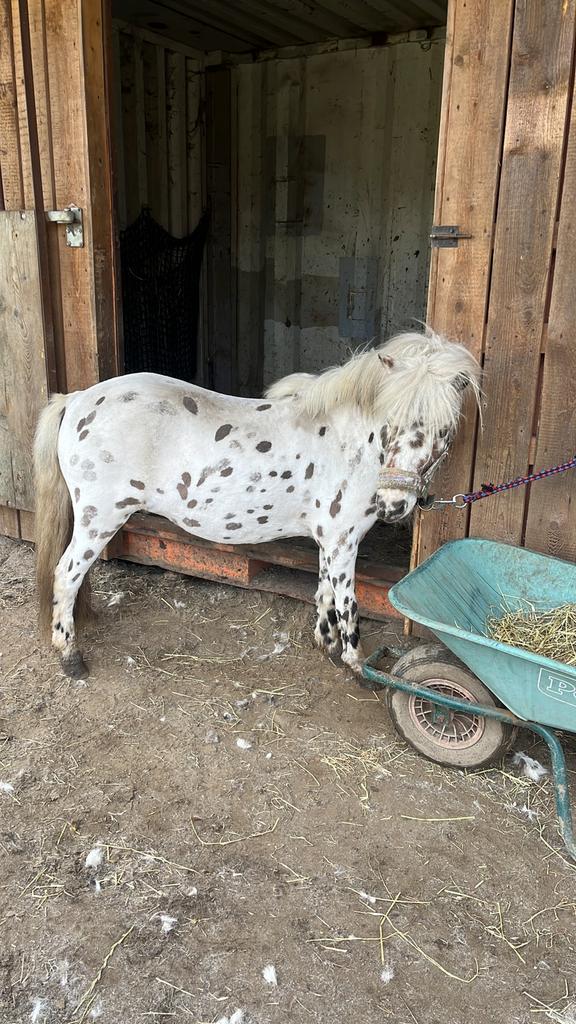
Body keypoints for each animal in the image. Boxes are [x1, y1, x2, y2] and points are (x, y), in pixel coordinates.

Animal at [33, 327, 480, 679]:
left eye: (444, 429)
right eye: (391, 423)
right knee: (67, 574)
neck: (348, 443)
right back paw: (70, 656)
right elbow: (348, 604)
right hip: (100, 519)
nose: (393, 504)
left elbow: (324, 593)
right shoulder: (343, 542)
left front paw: (325, 644)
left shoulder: (328, 541)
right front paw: (356, 664)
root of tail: (78, 399)